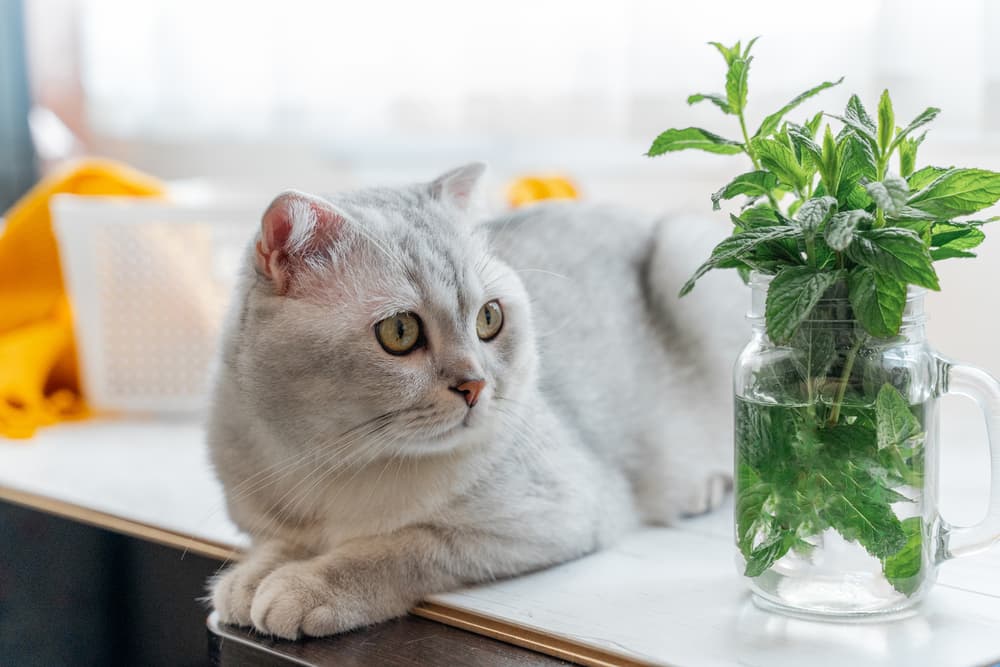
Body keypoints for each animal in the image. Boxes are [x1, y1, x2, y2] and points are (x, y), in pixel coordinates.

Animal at [207, 164, 744, 640]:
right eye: (399, 331)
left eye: (489, 318)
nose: (475, 385)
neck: (335, 462)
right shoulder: (271, 518)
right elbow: (280, 544)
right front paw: (247, 580)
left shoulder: (557, 513)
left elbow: (401, 546)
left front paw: (306, 587)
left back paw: (701, 487)